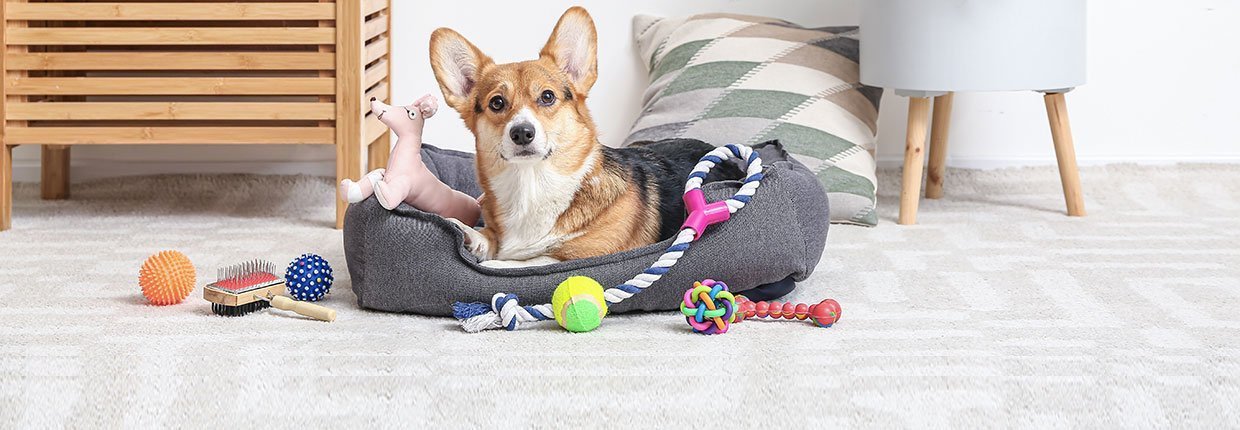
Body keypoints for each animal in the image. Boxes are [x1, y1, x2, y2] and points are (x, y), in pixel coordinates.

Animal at [429, 6, 729, 267]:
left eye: (547, 96)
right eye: (497, 103)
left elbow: (527, 262)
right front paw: (469, 234)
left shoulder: (586, 254)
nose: (522, 133)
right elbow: (489, 238)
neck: (531, 185)